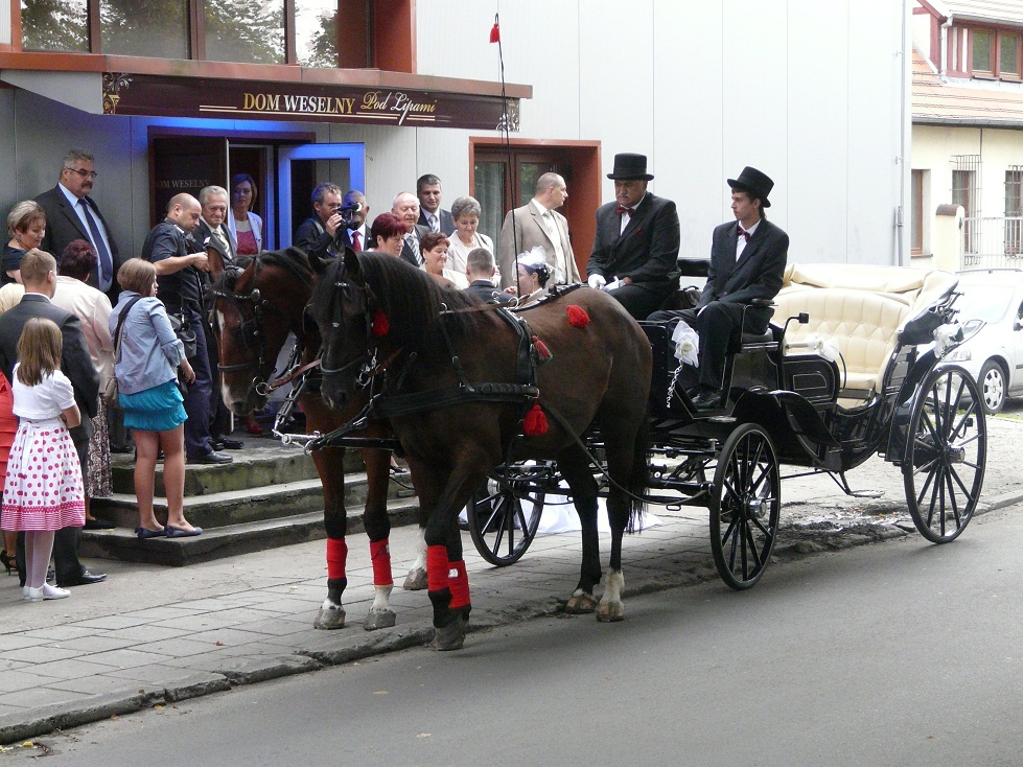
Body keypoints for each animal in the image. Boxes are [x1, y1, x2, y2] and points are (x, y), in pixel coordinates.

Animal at [209, 249, 430, 634]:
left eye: (245, 328)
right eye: (212, 326)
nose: (232, 401)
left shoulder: (374, 441)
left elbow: (375, 518)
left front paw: (380, 602)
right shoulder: (323, 443)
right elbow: (334, 518)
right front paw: (332, 600)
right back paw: (422, 568)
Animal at [307, 250, 651, 651]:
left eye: (356, 313)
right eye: (314, 314)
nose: (333, 393)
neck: (439, 356)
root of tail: (618, 311)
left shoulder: (475, 459)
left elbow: (437, 528)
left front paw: (445, 609)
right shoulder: (424, 460)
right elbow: (444, 531)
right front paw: (455, 607)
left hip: (619, 427)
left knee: (616, 506)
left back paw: (611, 593)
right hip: (568, 437)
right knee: (585, 501)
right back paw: (584, 586)